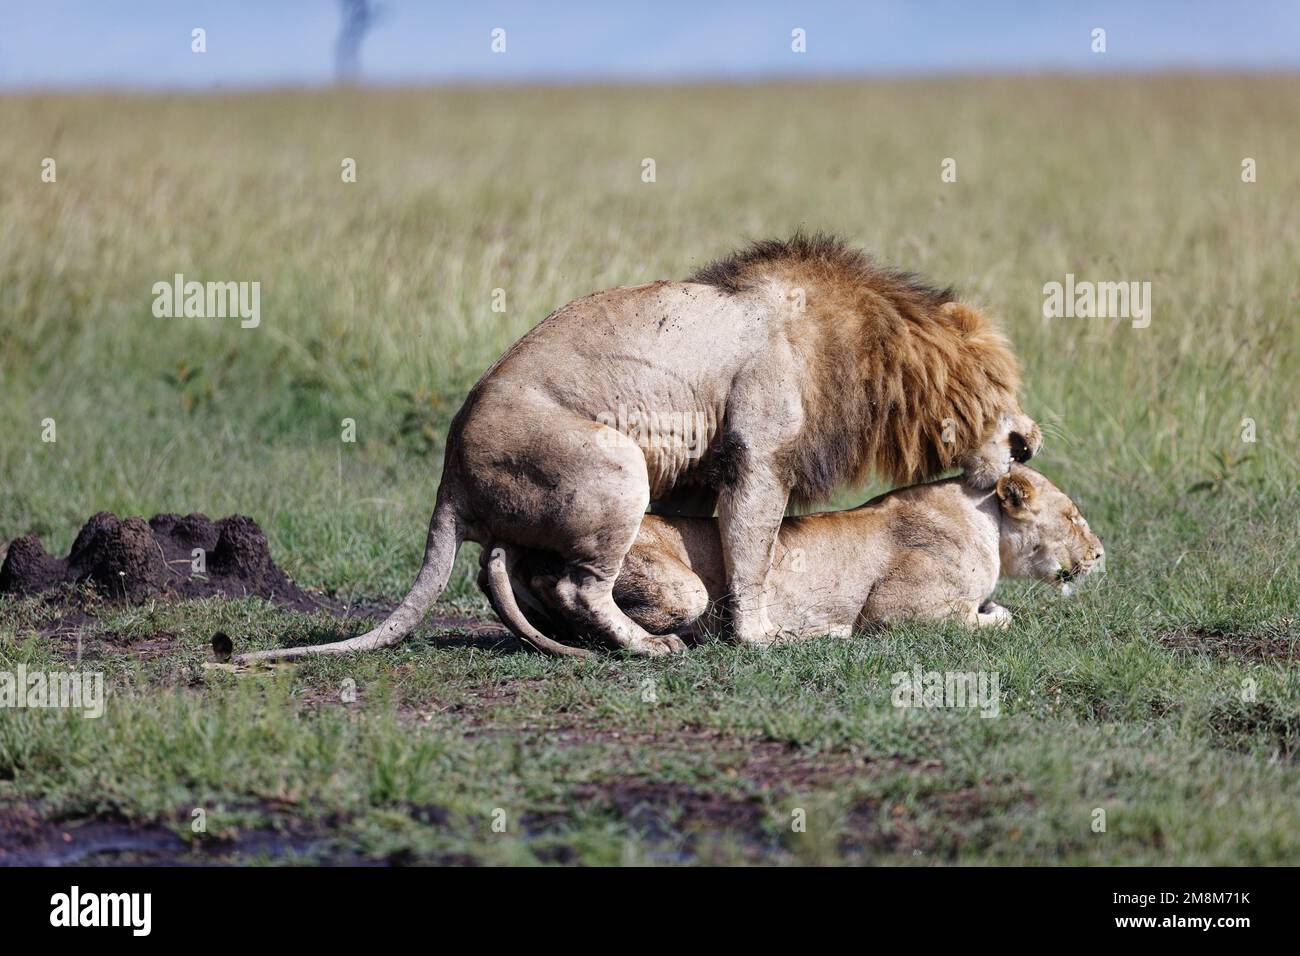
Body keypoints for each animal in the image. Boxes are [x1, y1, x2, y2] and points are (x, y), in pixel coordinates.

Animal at [239, 235, 1040, 660]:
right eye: (1000, 389)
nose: (1028, 444)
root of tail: (448, 478)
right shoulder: (757, 459)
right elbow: (753, 553)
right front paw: (760, 636)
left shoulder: (700, 468)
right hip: (615, 462)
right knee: (580, 584)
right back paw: (650, 647)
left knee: (508, 572)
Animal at [483, 463, 1102, 650]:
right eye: (1073, 516)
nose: (1100, 554)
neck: (985, 523)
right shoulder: (894, 612)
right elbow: (996, 618)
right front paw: (994, 615)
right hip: (682, 586)